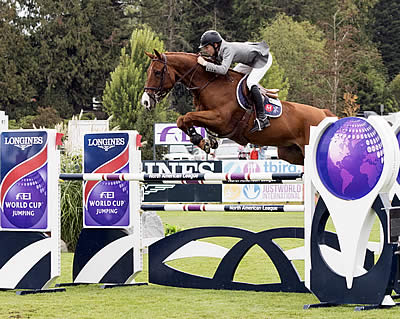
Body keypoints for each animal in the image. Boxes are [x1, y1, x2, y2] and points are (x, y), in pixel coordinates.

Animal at [141, 50, 334, 166]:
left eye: (157, 72)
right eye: (148, 72)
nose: (145, 102)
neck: (210, 84)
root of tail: (324, 114)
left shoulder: (221, 120)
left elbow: (186, 117)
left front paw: (200, 140)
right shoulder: (208, 117)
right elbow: (184, 120)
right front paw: (206, 142)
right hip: (291, 153)